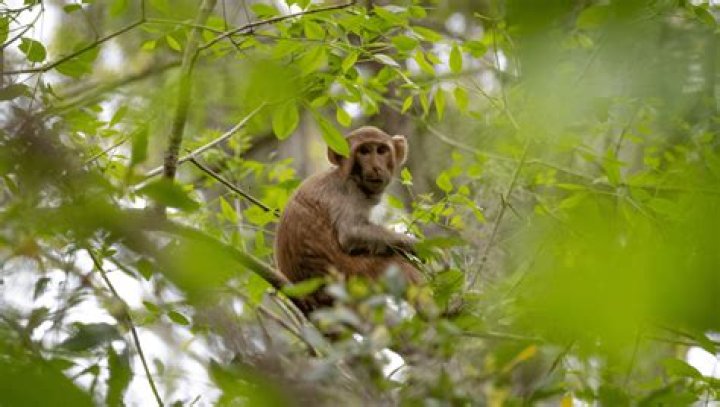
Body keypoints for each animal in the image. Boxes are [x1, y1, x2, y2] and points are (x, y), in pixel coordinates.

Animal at [274, 126, 421, 313]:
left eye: (381, 150)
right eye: (364, 151)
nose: (375, 166)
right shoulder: (349, 192)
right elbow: (351, 233)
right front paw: (419, 246)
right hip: (352, 276)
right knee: (397, 266)